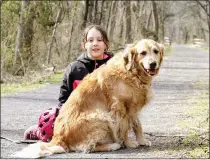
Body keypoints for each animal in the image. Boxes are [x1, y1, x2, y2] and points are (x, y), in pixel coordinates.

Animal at [13, 38, 164, 158]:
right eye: (143, 53)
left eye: (155, 51)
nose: (153, 64)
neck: (131, 73)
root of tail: (58, 139)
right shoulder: (120, 107)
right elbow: (124, 128)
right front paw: (129, 143)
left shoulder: (133, 107)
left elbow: (138, 125)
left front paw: (142, 140)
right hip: (102, 117)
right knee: (87, 147)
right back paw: (113, 145)